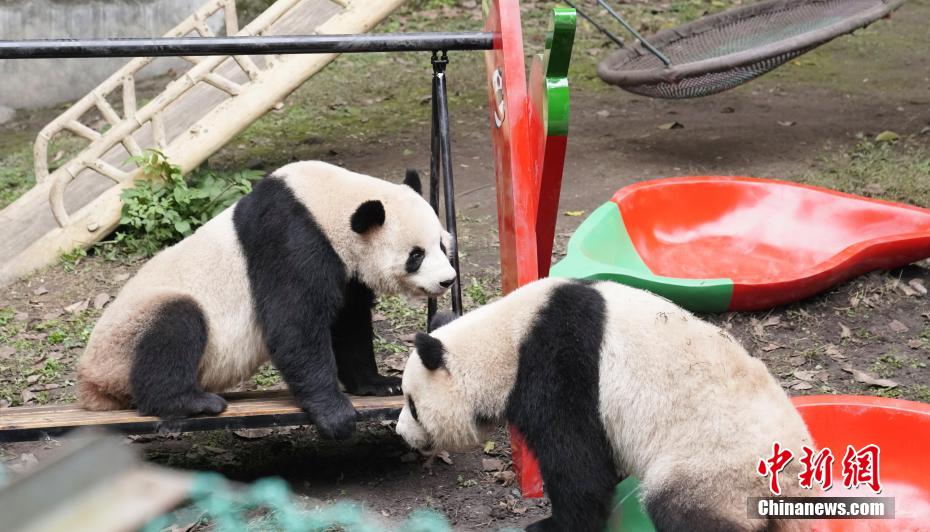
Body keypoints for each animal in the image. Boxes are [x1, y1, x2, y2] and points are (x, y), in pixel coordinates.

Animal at [78, 160, 454, 438]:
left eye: (441, 243)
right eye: (416, 255)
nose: (447, 280)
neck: (327, 203)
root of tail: (91, 382)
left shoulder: (344, 267)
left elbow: (349, 322)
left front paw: (377, 384)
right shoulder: (291, 239)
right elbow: (294, 324)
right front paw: (335, 414)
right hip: (125, 338)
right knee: (174, 326)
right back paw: (192, 402)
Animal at [396, 278, 812, 532]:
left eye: (412, 404)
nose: (401, 434)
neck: (508, 337)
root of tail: (797, 482)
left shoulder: (559, 365)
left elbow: (576, 464)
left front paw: (550, 524)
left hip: (713, 465)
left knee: (685, 511)